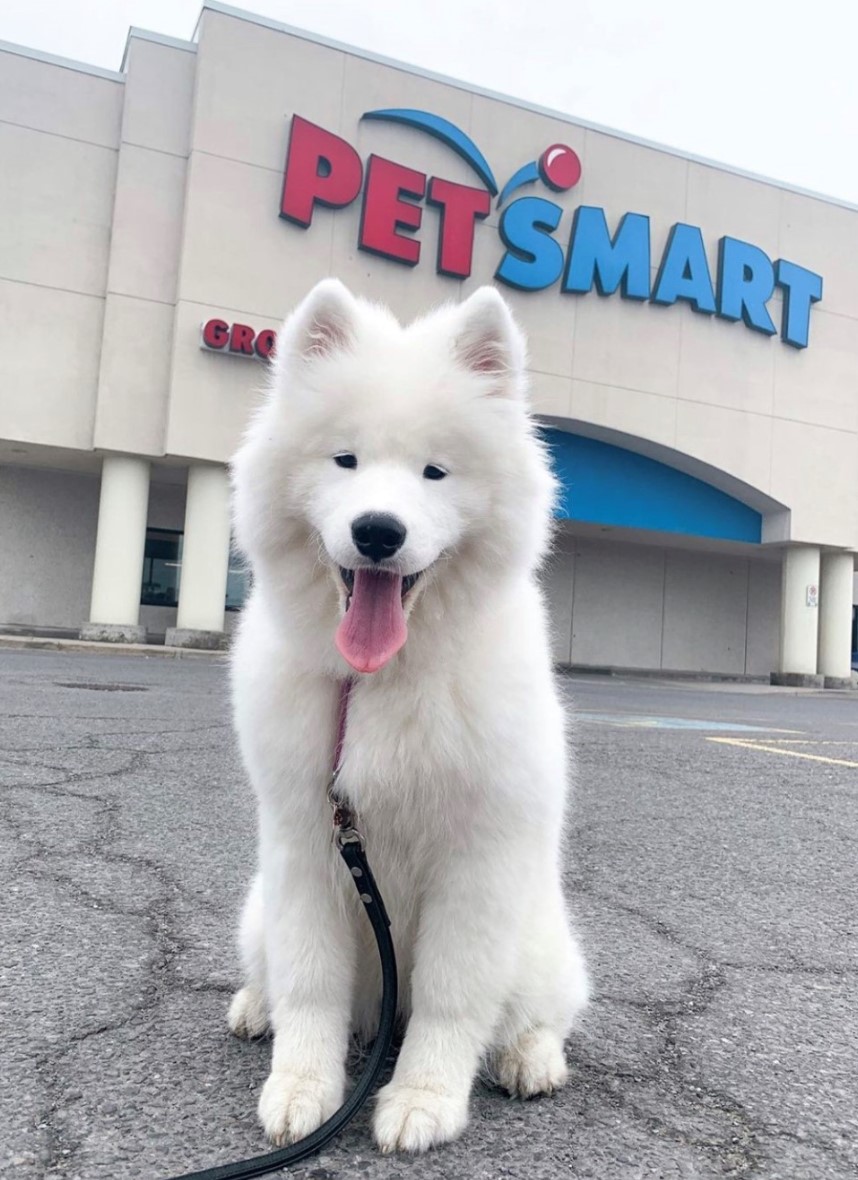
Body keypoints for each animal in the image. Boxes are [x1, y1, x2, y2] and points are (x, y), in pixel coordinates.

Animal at [226, 278, 590, 1151]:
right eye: (345, 459)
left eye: (435, 472)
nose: (377, 532)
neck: (376, 684)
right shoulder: (305, 846)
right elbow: (311, 983)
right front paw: (302, 1089)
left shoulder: (476, 864)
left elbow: (453, 998)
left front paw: (423, 1102)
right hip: (256, 906)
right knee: (273, 972)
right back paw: (255, 1008)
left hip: (542, 941)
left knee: (542, 1013)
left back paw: (529, 1060)